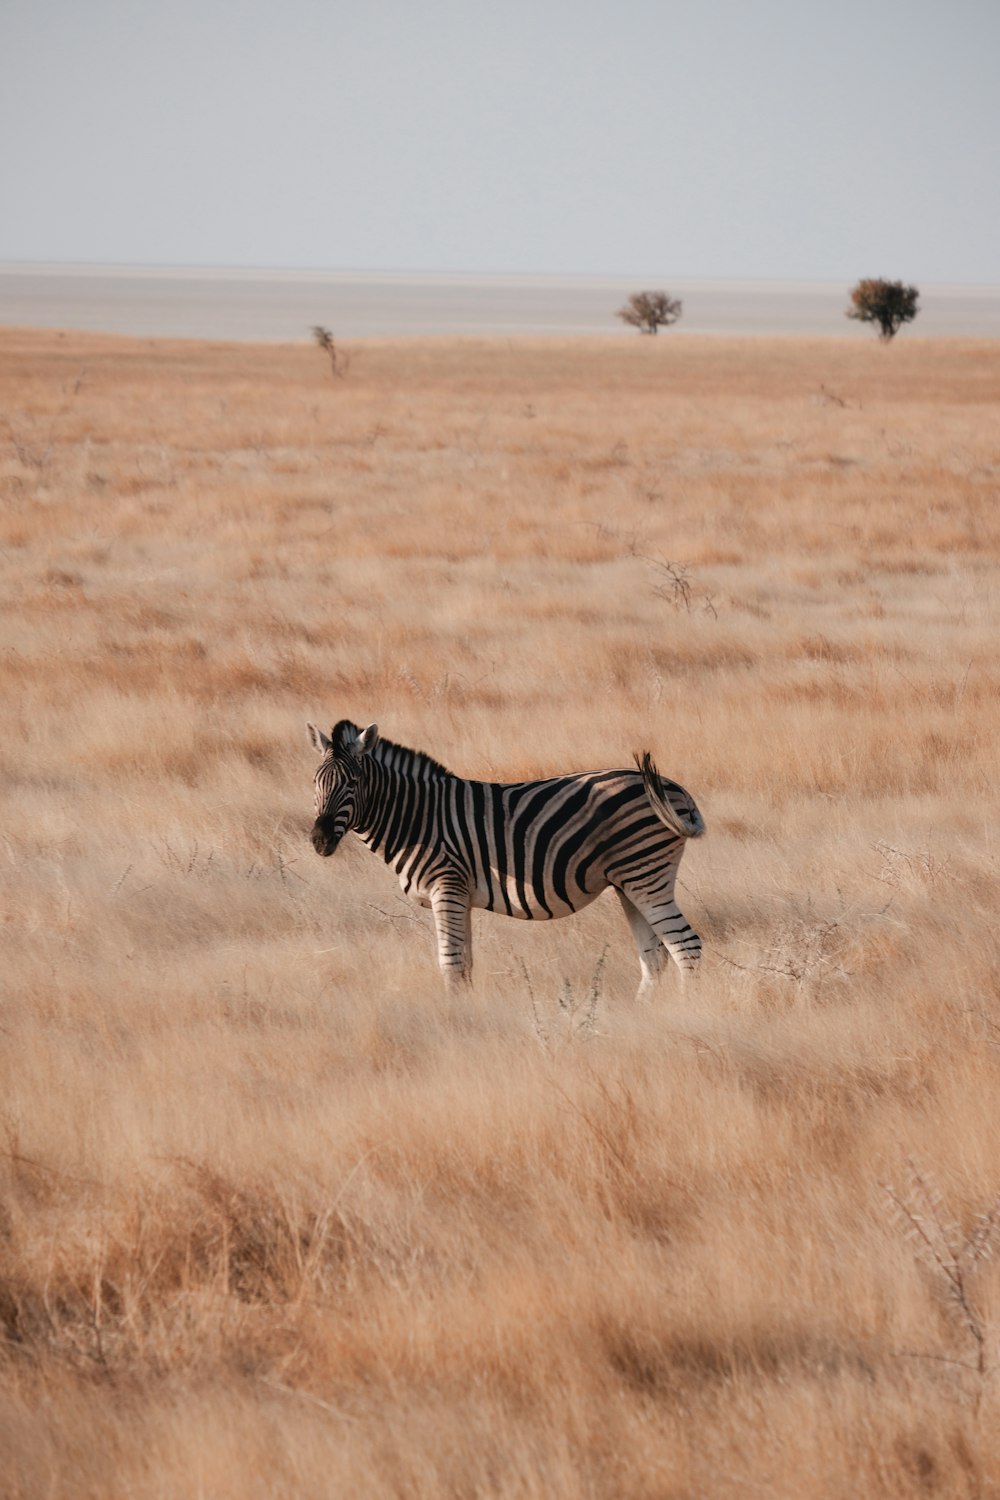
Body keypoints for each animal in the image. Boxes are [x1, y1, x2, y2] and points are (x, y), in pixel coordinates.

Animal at [305, 723, 704, 1002]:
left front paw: (455, 1020)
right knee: (655, 956)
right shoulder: (459, 896)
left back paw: (682, 1013)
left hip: (646, 873)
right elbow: (465, 964)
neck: (415, 818)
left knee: (686, 947)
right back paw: (639, 1015)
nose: (319, 840)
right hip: (628, 881)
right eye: (314, 783)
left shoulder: (446, 886)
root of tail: (676, 789)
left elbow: (450, 963)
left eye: (353, 782)